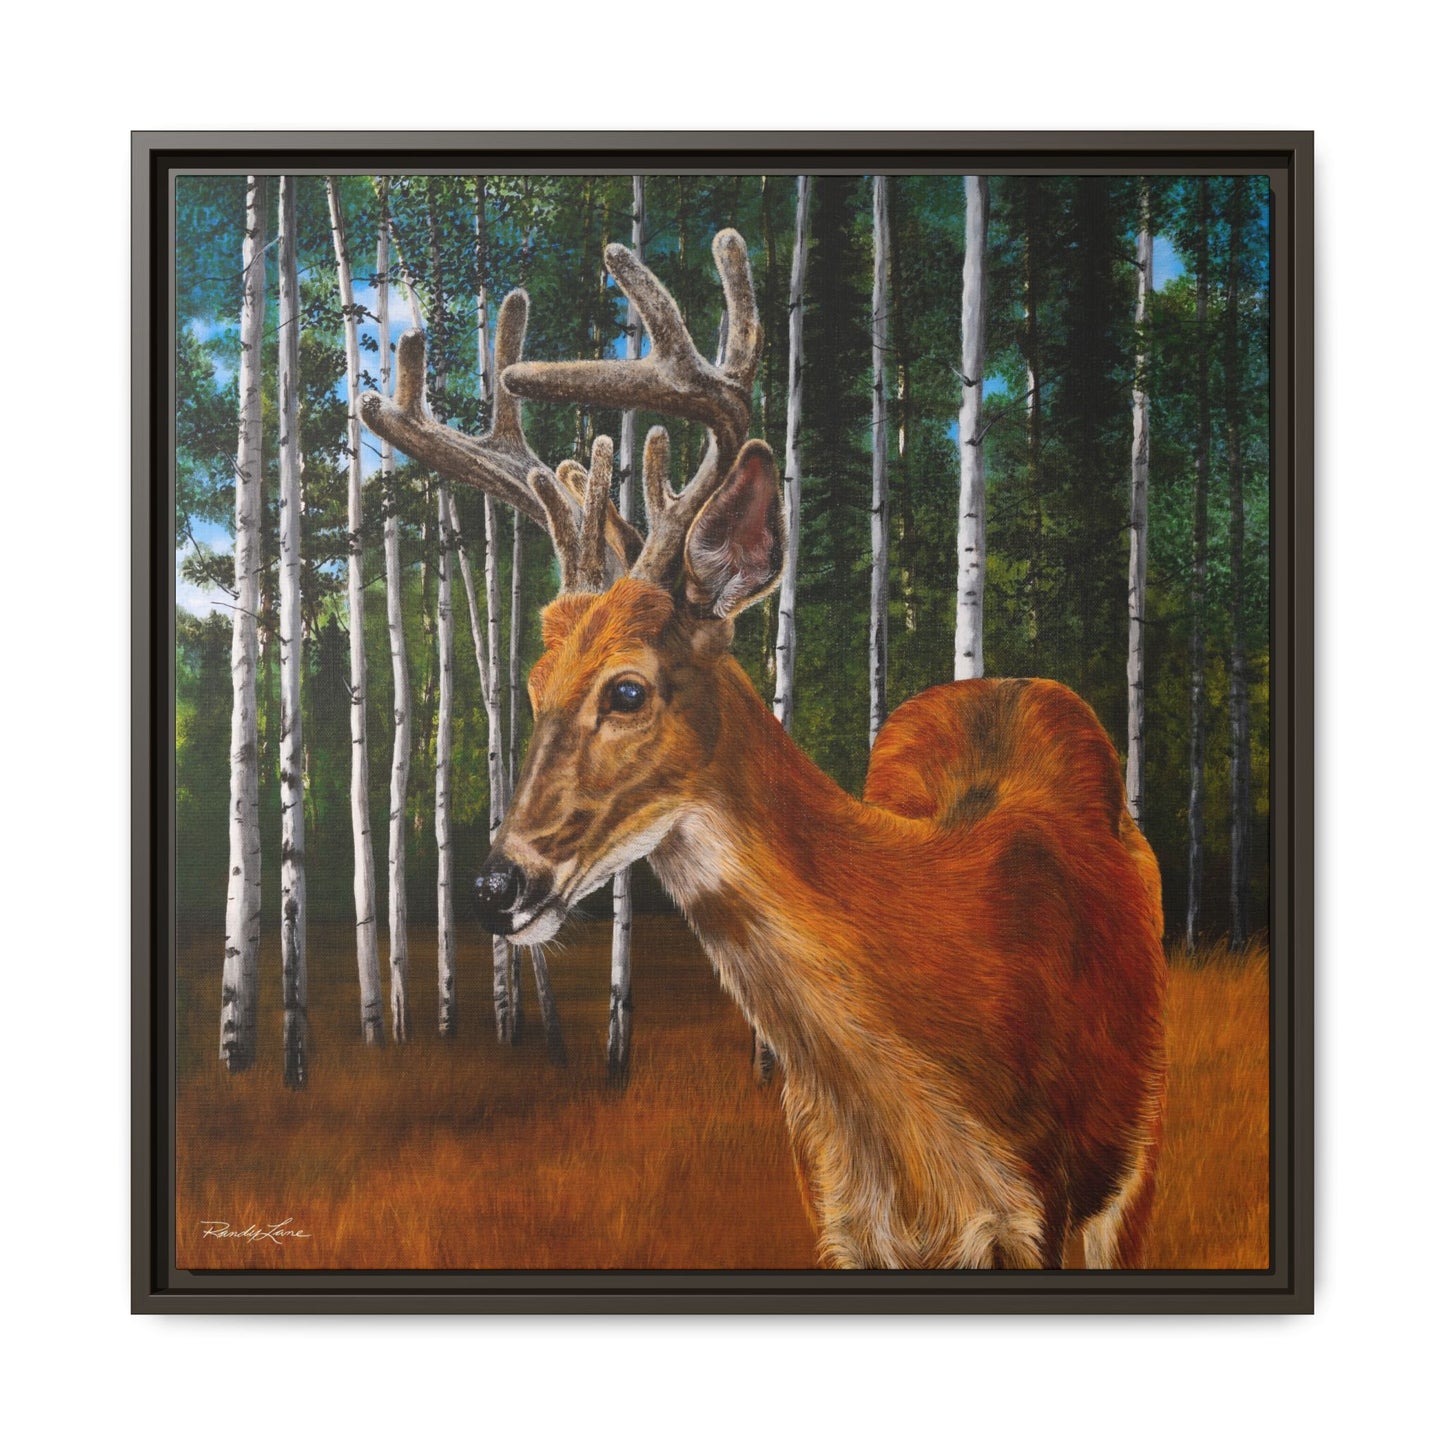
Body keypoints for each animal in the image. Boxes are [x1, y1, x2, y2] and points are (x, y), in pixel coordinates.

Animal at [360, 228, 1167, 1270]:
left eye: (626, 689)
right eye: (533, 687)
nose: (495, 885)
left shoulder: (1045, 1211)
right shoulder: (832, 1210)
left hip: (1134, 1164)